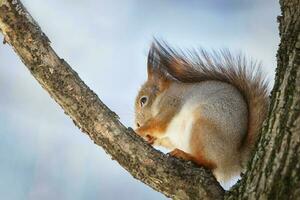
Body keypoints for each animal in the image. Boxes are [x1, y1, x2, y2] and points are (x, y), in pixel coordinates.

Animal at [134, 40, 270, 186]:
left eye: (143, 100)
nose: (137, 124)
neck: (163, 95)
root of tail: (233, 159)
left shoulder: (171, 105)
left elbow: (159, 125)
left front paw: (138, 131)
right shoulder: (168, 136)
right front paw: (149, 138)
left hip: (202, 127)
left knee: (210, 163)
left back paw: (186, 155)